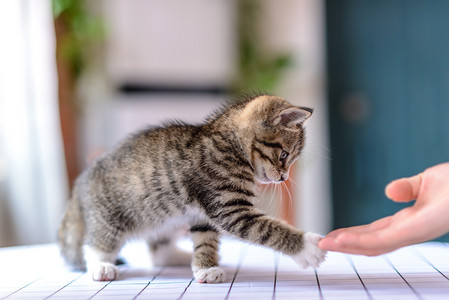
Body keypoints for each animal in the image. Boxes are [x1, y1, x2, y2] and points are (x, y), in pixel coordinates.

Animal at [58, 95, 326, 284]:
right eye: (284, 155)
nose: (283, 177)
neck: (229, 145)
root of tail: (81, 182)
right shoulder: (229, 207)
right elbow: (265, 228)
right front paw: (308, 248)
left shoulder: (203, 215)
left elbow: (205, 239)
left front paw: (205, 267)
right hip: (110, 216)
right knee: (96, 243)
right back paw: (101, 266)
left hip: (165, 218)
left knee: (159, 251)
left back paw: (180, 257)